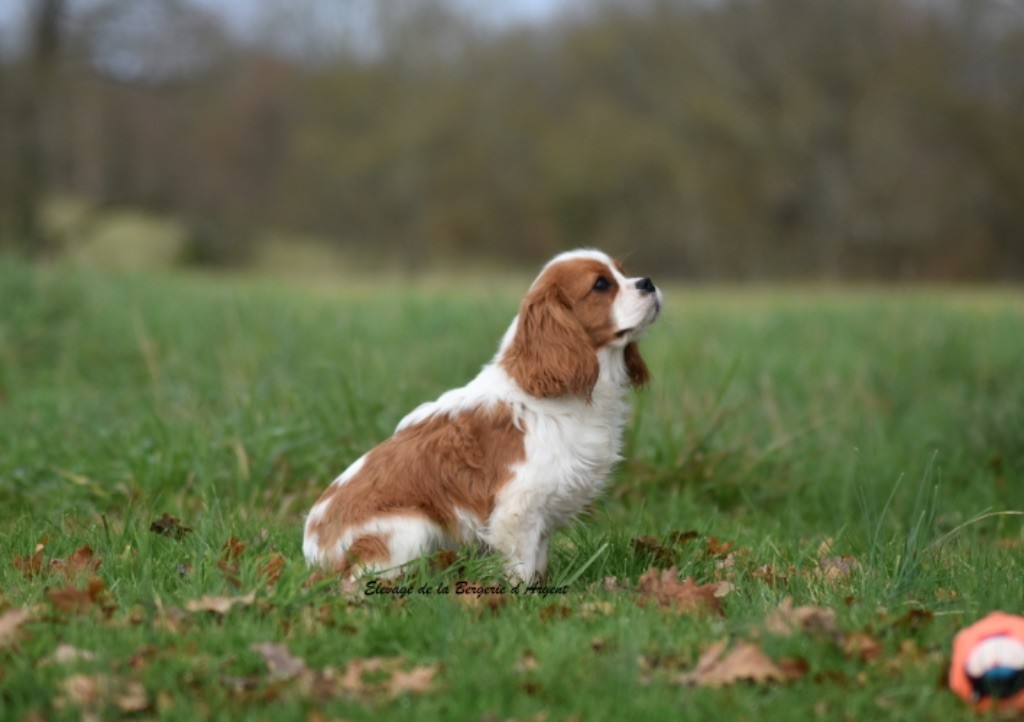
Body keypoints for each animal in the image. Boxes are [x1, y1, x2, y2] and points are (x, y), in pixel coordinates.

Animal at [301, 247, 663, 581]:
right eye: (601, 285)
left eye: (623, 273)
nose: (648, 282)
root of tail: (314, 552)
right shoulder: (517, 508)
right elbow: (522, 566)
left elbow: (539, 557)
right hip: (409, 529)